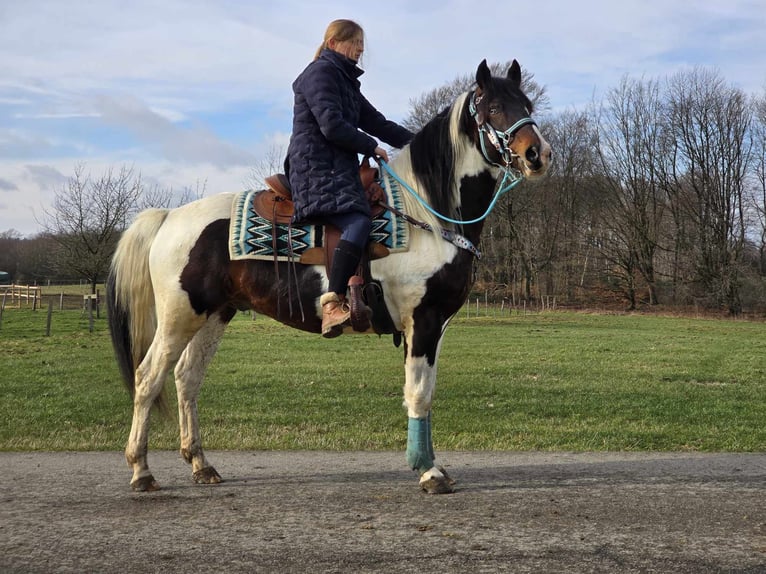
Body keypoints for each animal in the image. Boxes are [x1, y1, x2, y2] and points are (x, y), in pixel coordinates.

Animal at [106, 58, 552, 496]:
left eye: (527, 104)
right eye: (494, 107)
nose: (538, 154)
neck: (426, 212)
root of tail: (168, 217)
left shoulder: (435, 325)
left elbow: (423, 393)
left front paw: (428, 465)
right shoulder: (422, 321)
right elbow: (419, 395)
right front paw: (429, 472)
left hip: (215, 314)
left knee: (187, 378)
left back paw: (201, 464)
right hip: (179, 317)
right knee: (149, 378)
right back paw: (141, 470)